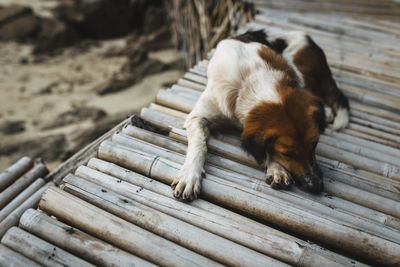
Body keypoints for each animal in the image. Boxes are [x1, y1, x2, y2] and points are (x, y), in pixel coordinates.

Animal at [172, 29, 350, 201]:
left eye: (315, 144)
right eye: (288, 154)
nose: (317, 186)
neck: (249, 80)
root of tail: (309, 39)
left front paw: (277, 168)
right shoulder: (197, 117)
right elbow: (199, 145)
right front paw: (189, 176)